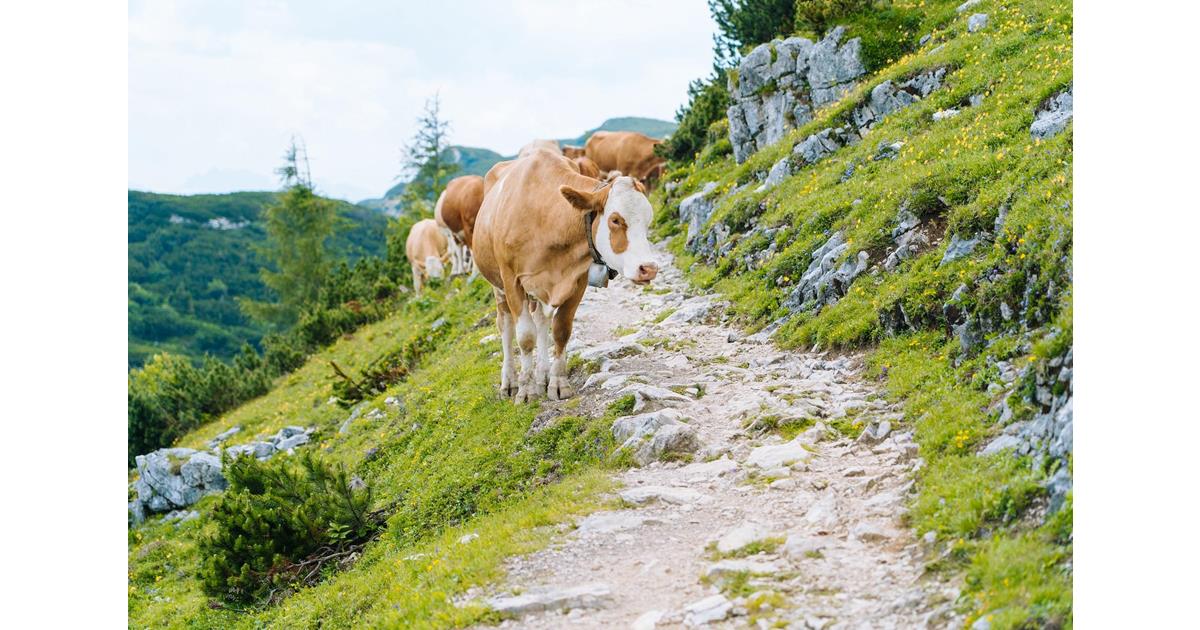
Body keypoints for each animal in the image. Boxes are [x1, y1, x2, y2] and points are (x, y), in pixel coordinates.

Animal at [472, 149, 662, 400]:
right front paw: (525, 390)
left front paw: (557, 383)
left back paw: (542, 375)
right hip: (498, 285)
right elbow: (525, 337)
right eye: (615, 220)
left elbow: (561, 330)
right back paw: (510, 382)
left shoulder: (577, 280)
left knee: (541, 320)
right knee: (505, 326)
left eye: (648, 220)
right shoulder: (512, 280)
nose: (648, 268)